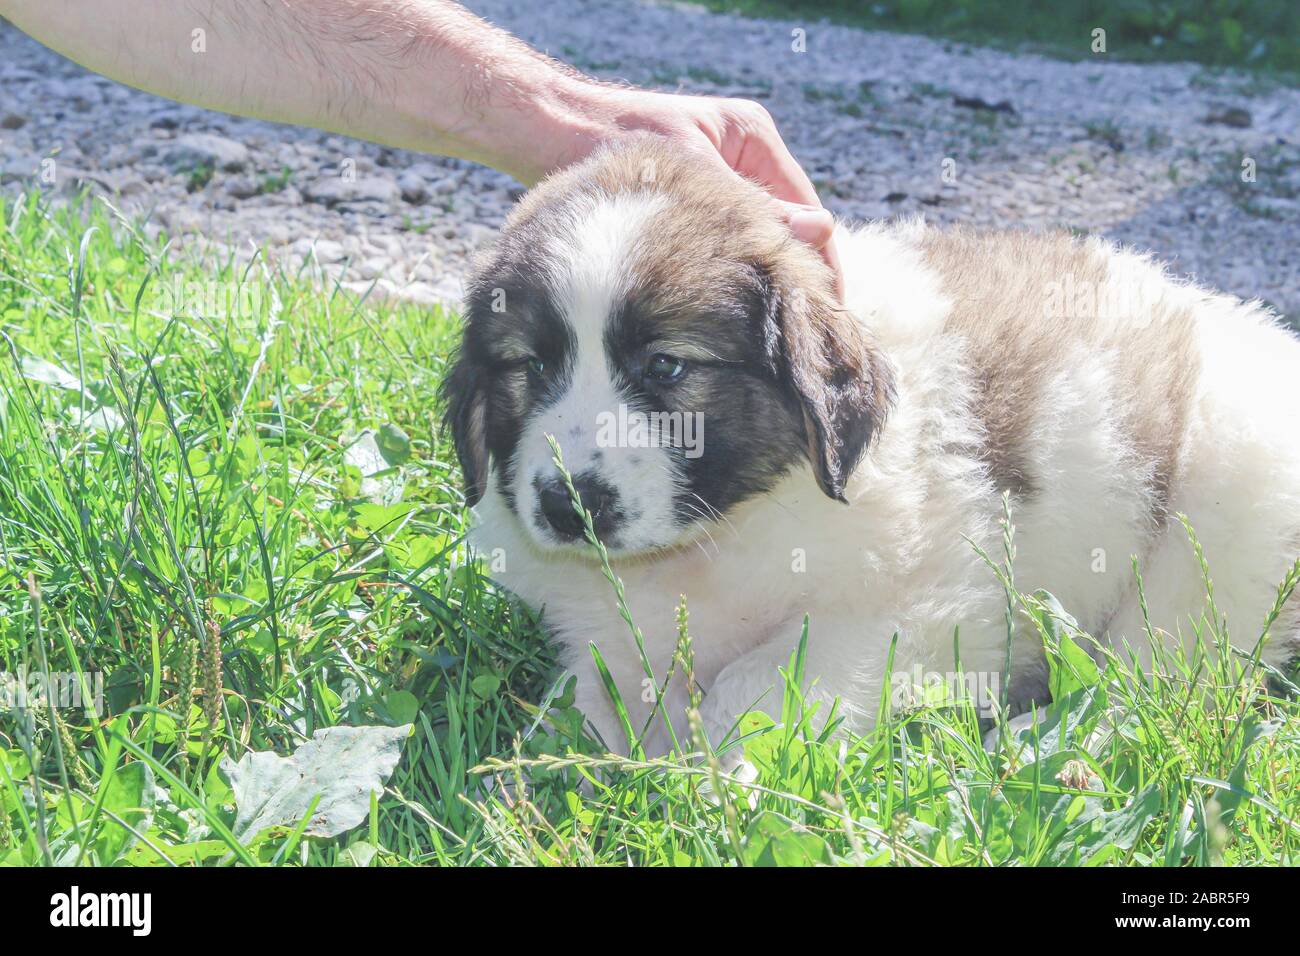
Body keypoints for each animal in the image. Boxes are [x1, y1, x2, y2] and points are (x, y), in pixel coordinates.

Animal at [444, 138, 1300, 759]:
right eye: (531, 367)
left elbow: (760, 680)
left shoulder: (923, 612)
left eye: (665, 367)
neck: (729, 527)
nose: (566, 506)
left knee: (1157, 678)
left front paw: (718, 772)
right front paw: (543, 769)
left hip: (1217, 526)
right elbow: (597, 693)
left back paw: (1031, 748)